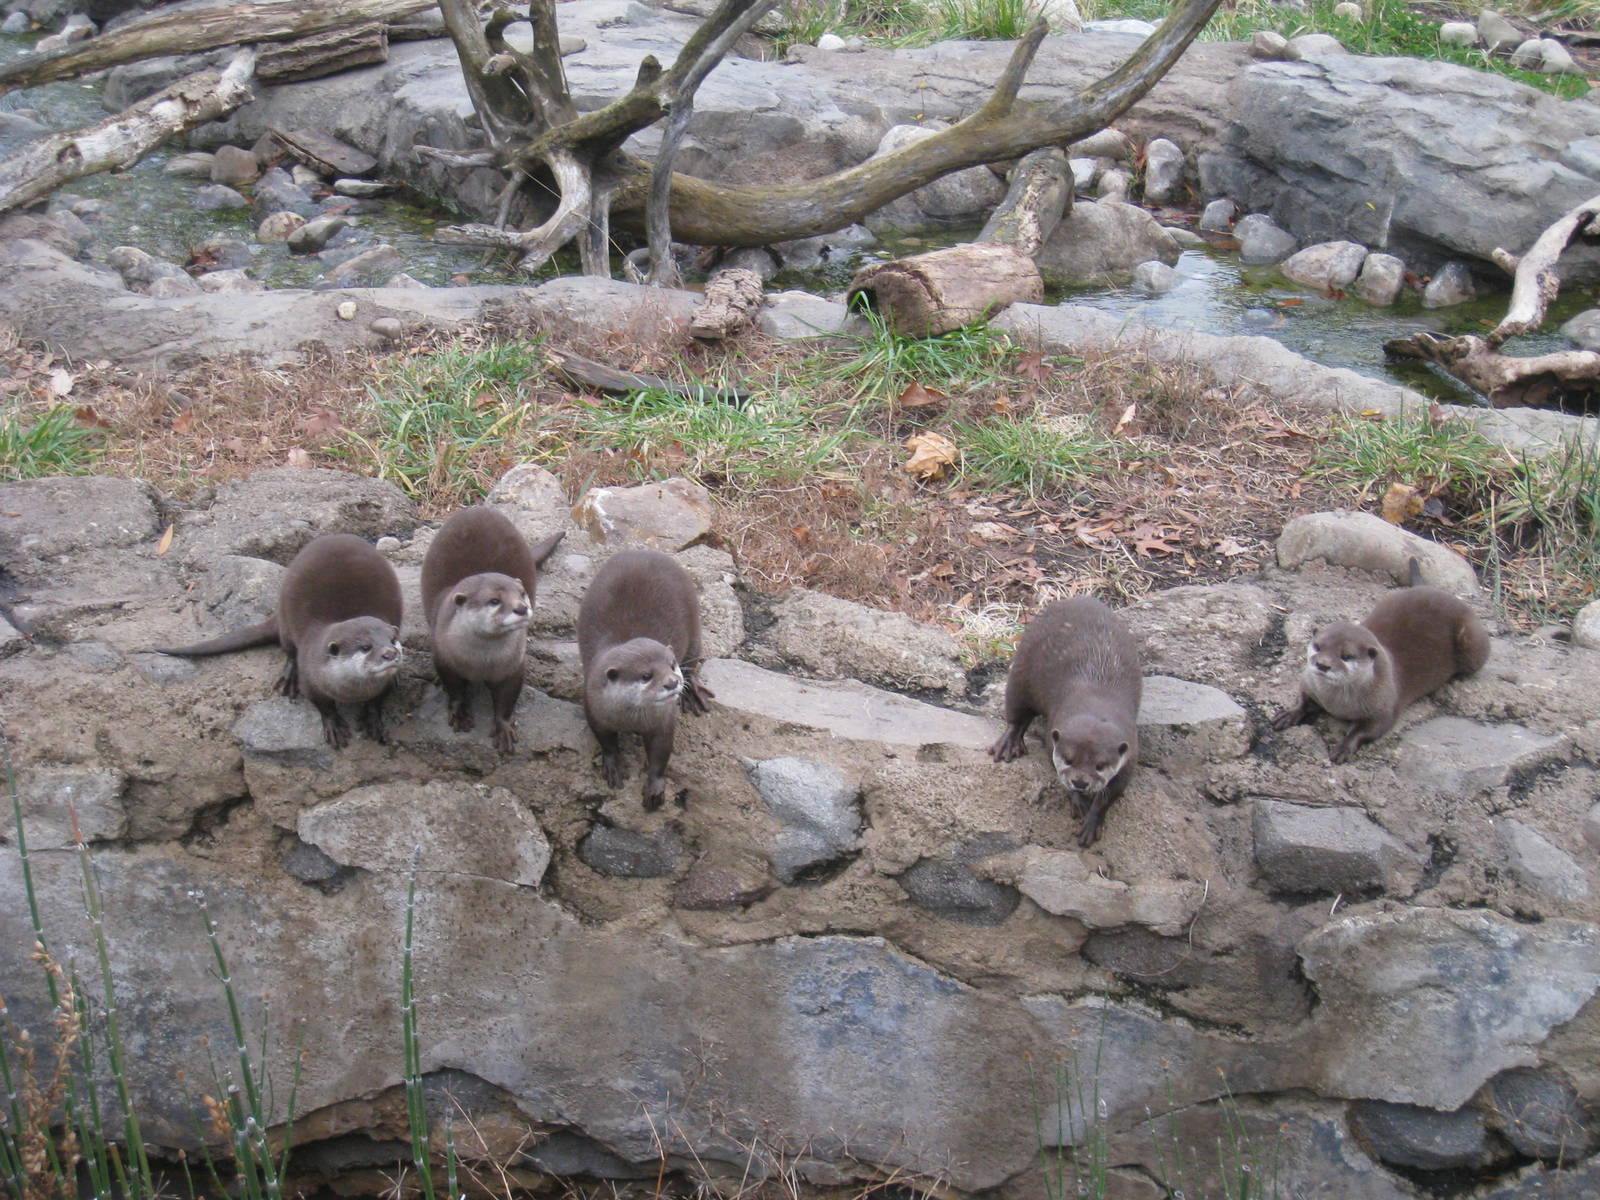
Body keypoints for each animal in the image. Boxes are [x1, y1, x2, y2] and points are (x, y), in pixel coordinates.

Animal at [161, 533, 403, 748]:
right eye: (366, 647)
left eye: (392, 640)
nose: (390, 653)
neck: (351, 691)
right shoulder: (311, 679)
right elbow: (322, 704)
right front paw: (333, 724)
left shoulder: (382, 685)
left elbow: (377, 700)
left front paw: (373, 720)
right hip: (286, 619)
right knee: (288, 649)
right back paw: (288, 677)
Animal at [421, 506, 563, 754]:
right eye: (494, 601)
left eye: (522, 593)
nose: (521, 608)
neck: (481, 662)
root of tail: (478, 508)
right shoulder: (444, 656)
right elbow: (454, 687)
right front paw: (459, 713)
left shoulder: (513, 666)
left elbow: (507, 699)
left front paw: (504, 728)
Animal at [577, 549, 714, 810]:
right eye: (646, 675)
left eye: (671, 664)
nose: (672, 682)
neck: (630, 719)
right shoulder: (593, 707)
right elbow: (606, 740)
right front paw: (613, 766)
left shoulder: (663, 720)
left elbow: (661, 752)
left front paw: (655, 788)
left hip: (694, 626)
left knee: (694, 660)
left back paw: (693, 693)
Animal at [990, 597, 1142, 847]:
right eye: (1069, 759)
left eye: (1101, 765)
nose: (1080, 782)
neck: (1097, 698)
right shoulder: (1052, 739)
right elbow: (1056, 769)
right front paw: (1078, 800)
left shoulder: (1130, 758)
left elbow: (1112, 794)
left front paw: (1092, 821)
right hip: (1022, 668)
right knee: (1016, 710)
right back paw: (1008, 743)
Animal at [1271, 566, 1490, 763]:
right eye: (1318, 646)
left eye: (1346, 656)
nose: (1323, 665)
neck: (1336, 703)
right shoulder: (1309, 683)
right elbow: (1303, 698)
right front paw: (1289, 714)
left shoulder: (1384, 707)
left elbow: (1369, 730)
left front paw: (1343, 747)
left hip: (1472, 643)